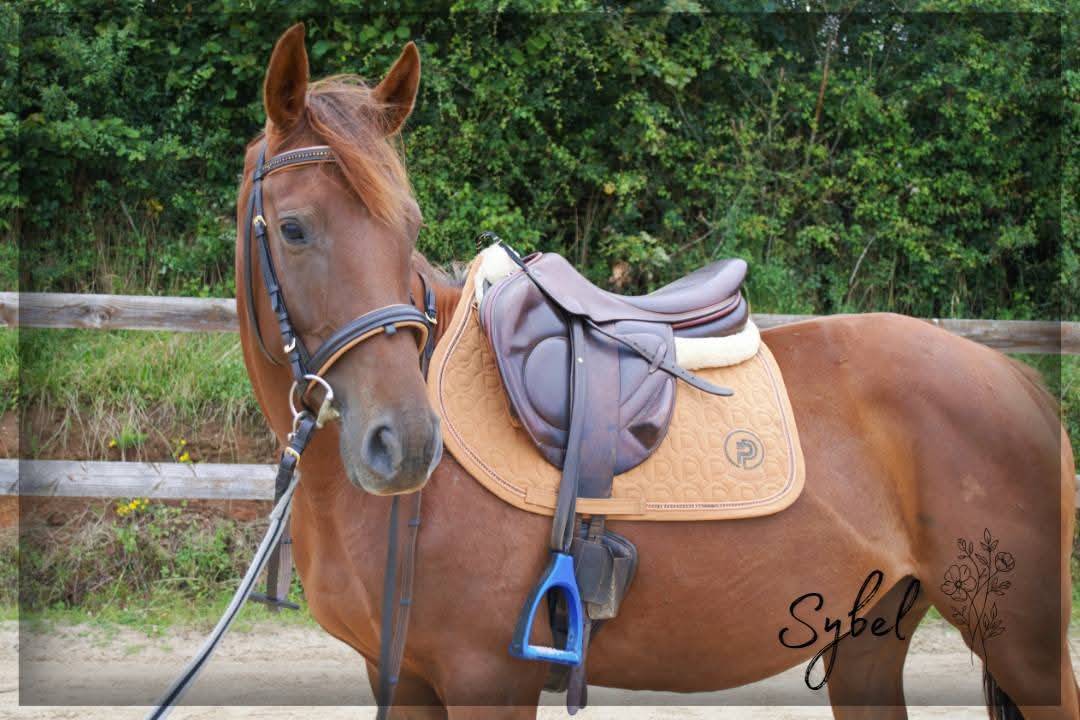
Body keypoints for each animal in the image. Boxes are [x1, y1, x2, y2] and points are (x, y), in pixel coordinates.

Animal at [236, 23, 1077, 719]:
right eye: (294, 228)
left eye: (407, 225)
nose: (406, 442)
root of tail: (1015, 380)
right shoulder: (404, 681)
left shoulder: (486, 681)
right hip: (870, 639)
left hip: (1021, 640)